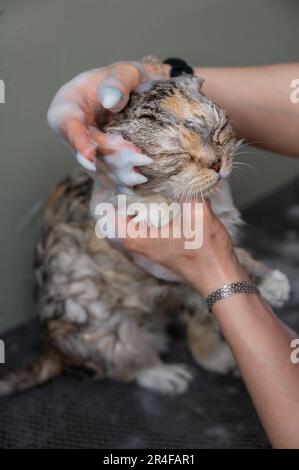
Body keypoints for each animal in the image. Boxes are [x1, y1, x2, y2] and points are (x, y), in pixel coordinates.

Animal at [0, 74, 290, 396]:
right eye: (178, 155)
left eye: (219, 131)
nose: (217, 164)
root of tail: (50, 350)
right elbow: (124, 195)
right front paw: (153, 206)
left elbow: (234, 261)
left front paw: (271, 282)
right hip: (108, 327)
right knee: (124, 363)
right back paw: (162, 374)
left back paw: (216, 358)